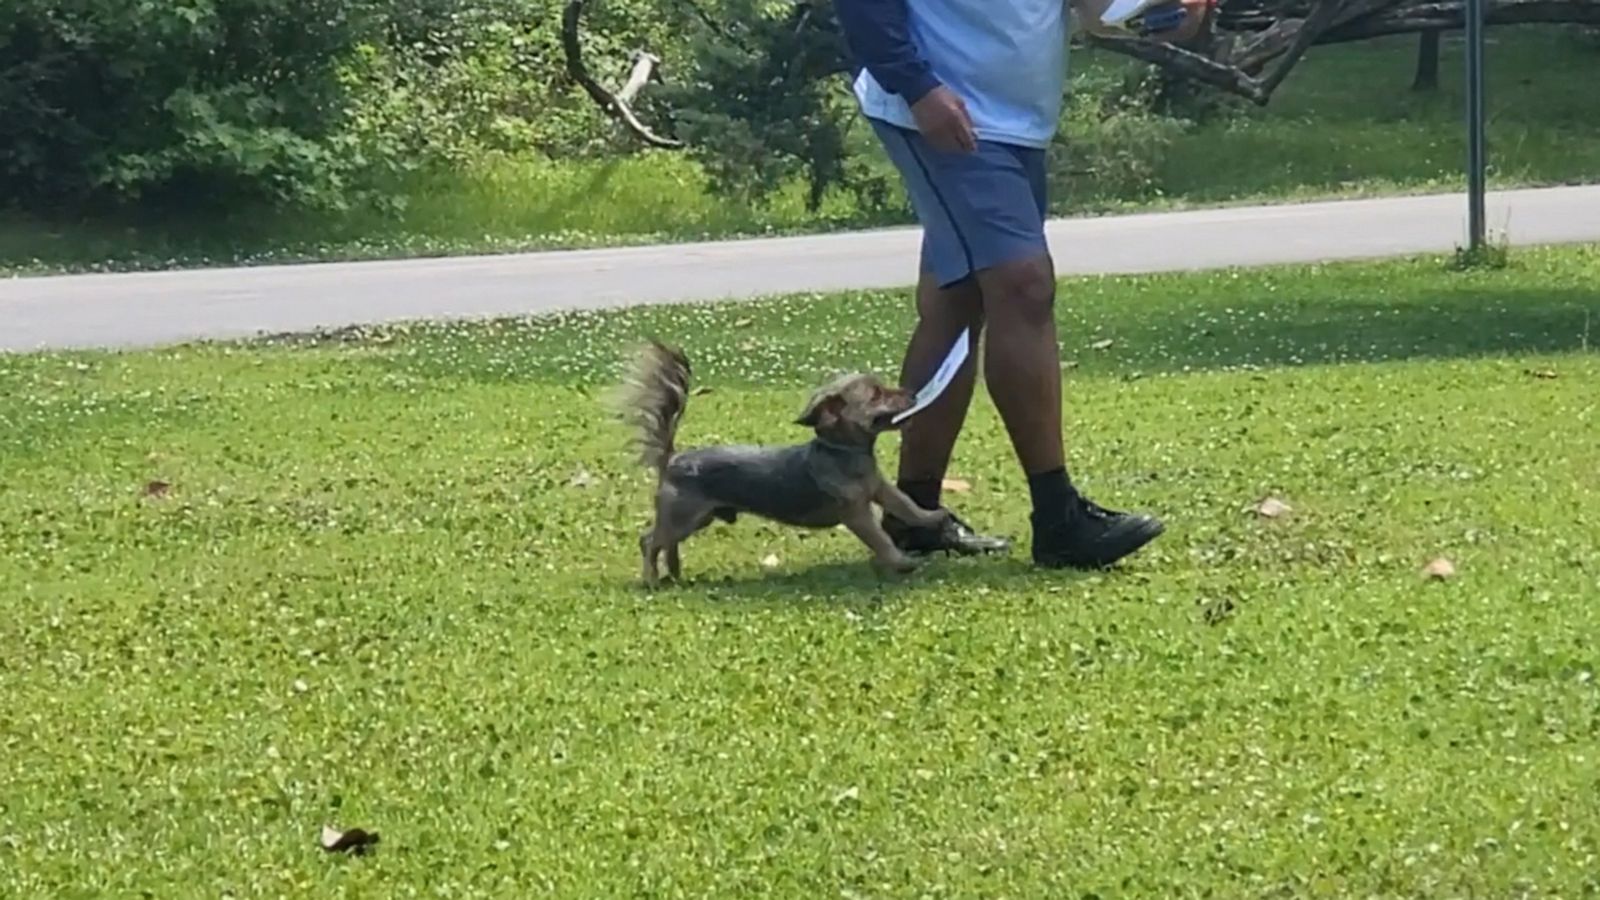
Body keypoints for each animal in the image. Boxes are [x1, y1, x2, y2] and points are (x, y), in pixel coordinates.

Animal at [611, 336, 947, 582]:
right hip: (683, 515)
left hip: (696, 518)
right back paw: (652, 579)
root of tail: (672, 457)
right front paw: (901, 562)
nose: (911, 392)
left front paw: (932, 517)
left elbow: (906, 505)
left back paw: (675, 574)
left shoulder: (880, 488)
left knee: (667, 543)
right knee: (649, 541)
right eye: (876, 395)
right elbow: (881, 539)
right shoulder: (856, 514)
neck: (846, 453)